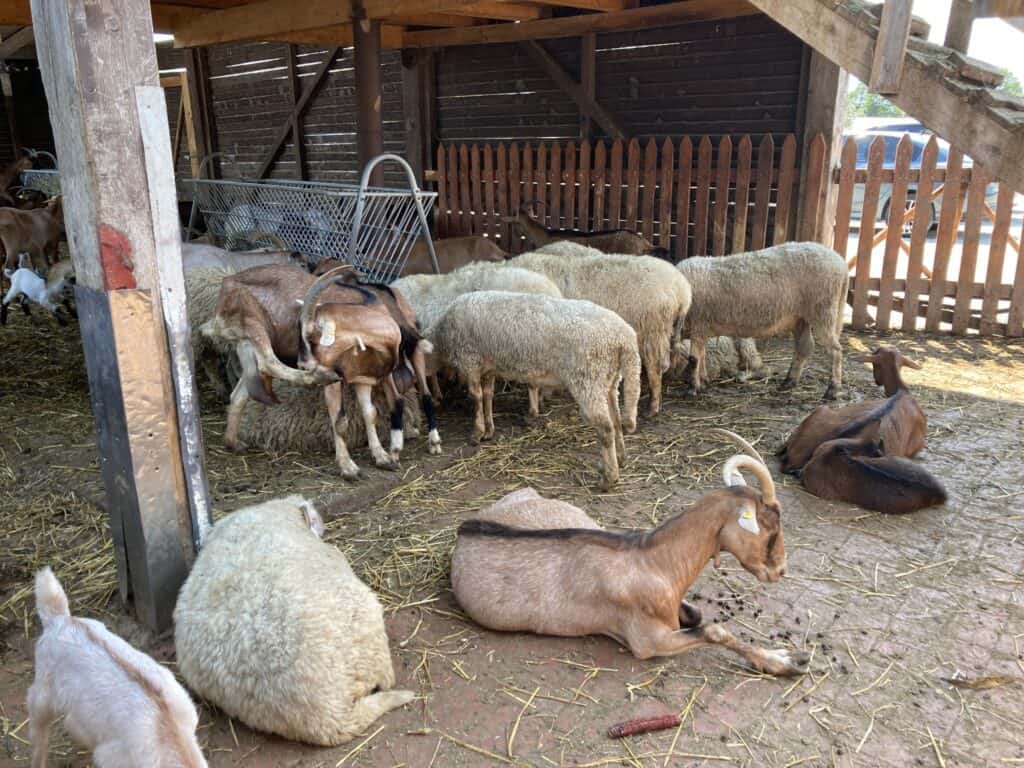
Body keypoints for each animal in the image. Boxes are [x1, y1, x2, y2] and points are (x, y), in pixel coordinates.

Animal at [425, 290, 638, 489]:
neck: (441, 339)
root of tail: (625, 338)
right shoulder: (488, 367)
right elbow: (487, 396)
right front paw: (489, 430)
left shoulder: (470, 361)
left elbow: (475, 398)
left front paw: (477, 433)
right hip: (608, 380)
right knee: (616, 420)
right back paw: (621, 459)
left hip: (588, 379)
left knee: (606, 428)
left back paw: (609, 478)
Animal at [452, 434, 811, 679]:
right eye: (771, 529)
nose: (780, 570)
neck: (654, 562)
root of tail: (464, 527)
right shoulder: (649, 641)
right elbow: (714, 630)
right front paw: (786, 661)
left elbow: (697, 615)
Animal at [675, 244, 843, 403]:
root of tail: (839, 261)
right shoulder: (701, 328)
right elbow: (702, 356)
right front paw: (702, 382)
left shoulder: (698, 324)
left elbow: (694, 359)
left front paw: (692, 389)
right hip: (801, 318)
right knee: (804, 348)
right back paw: (788, 383)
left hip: (823, 310)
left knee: (836, 351)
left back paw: (832, 390)